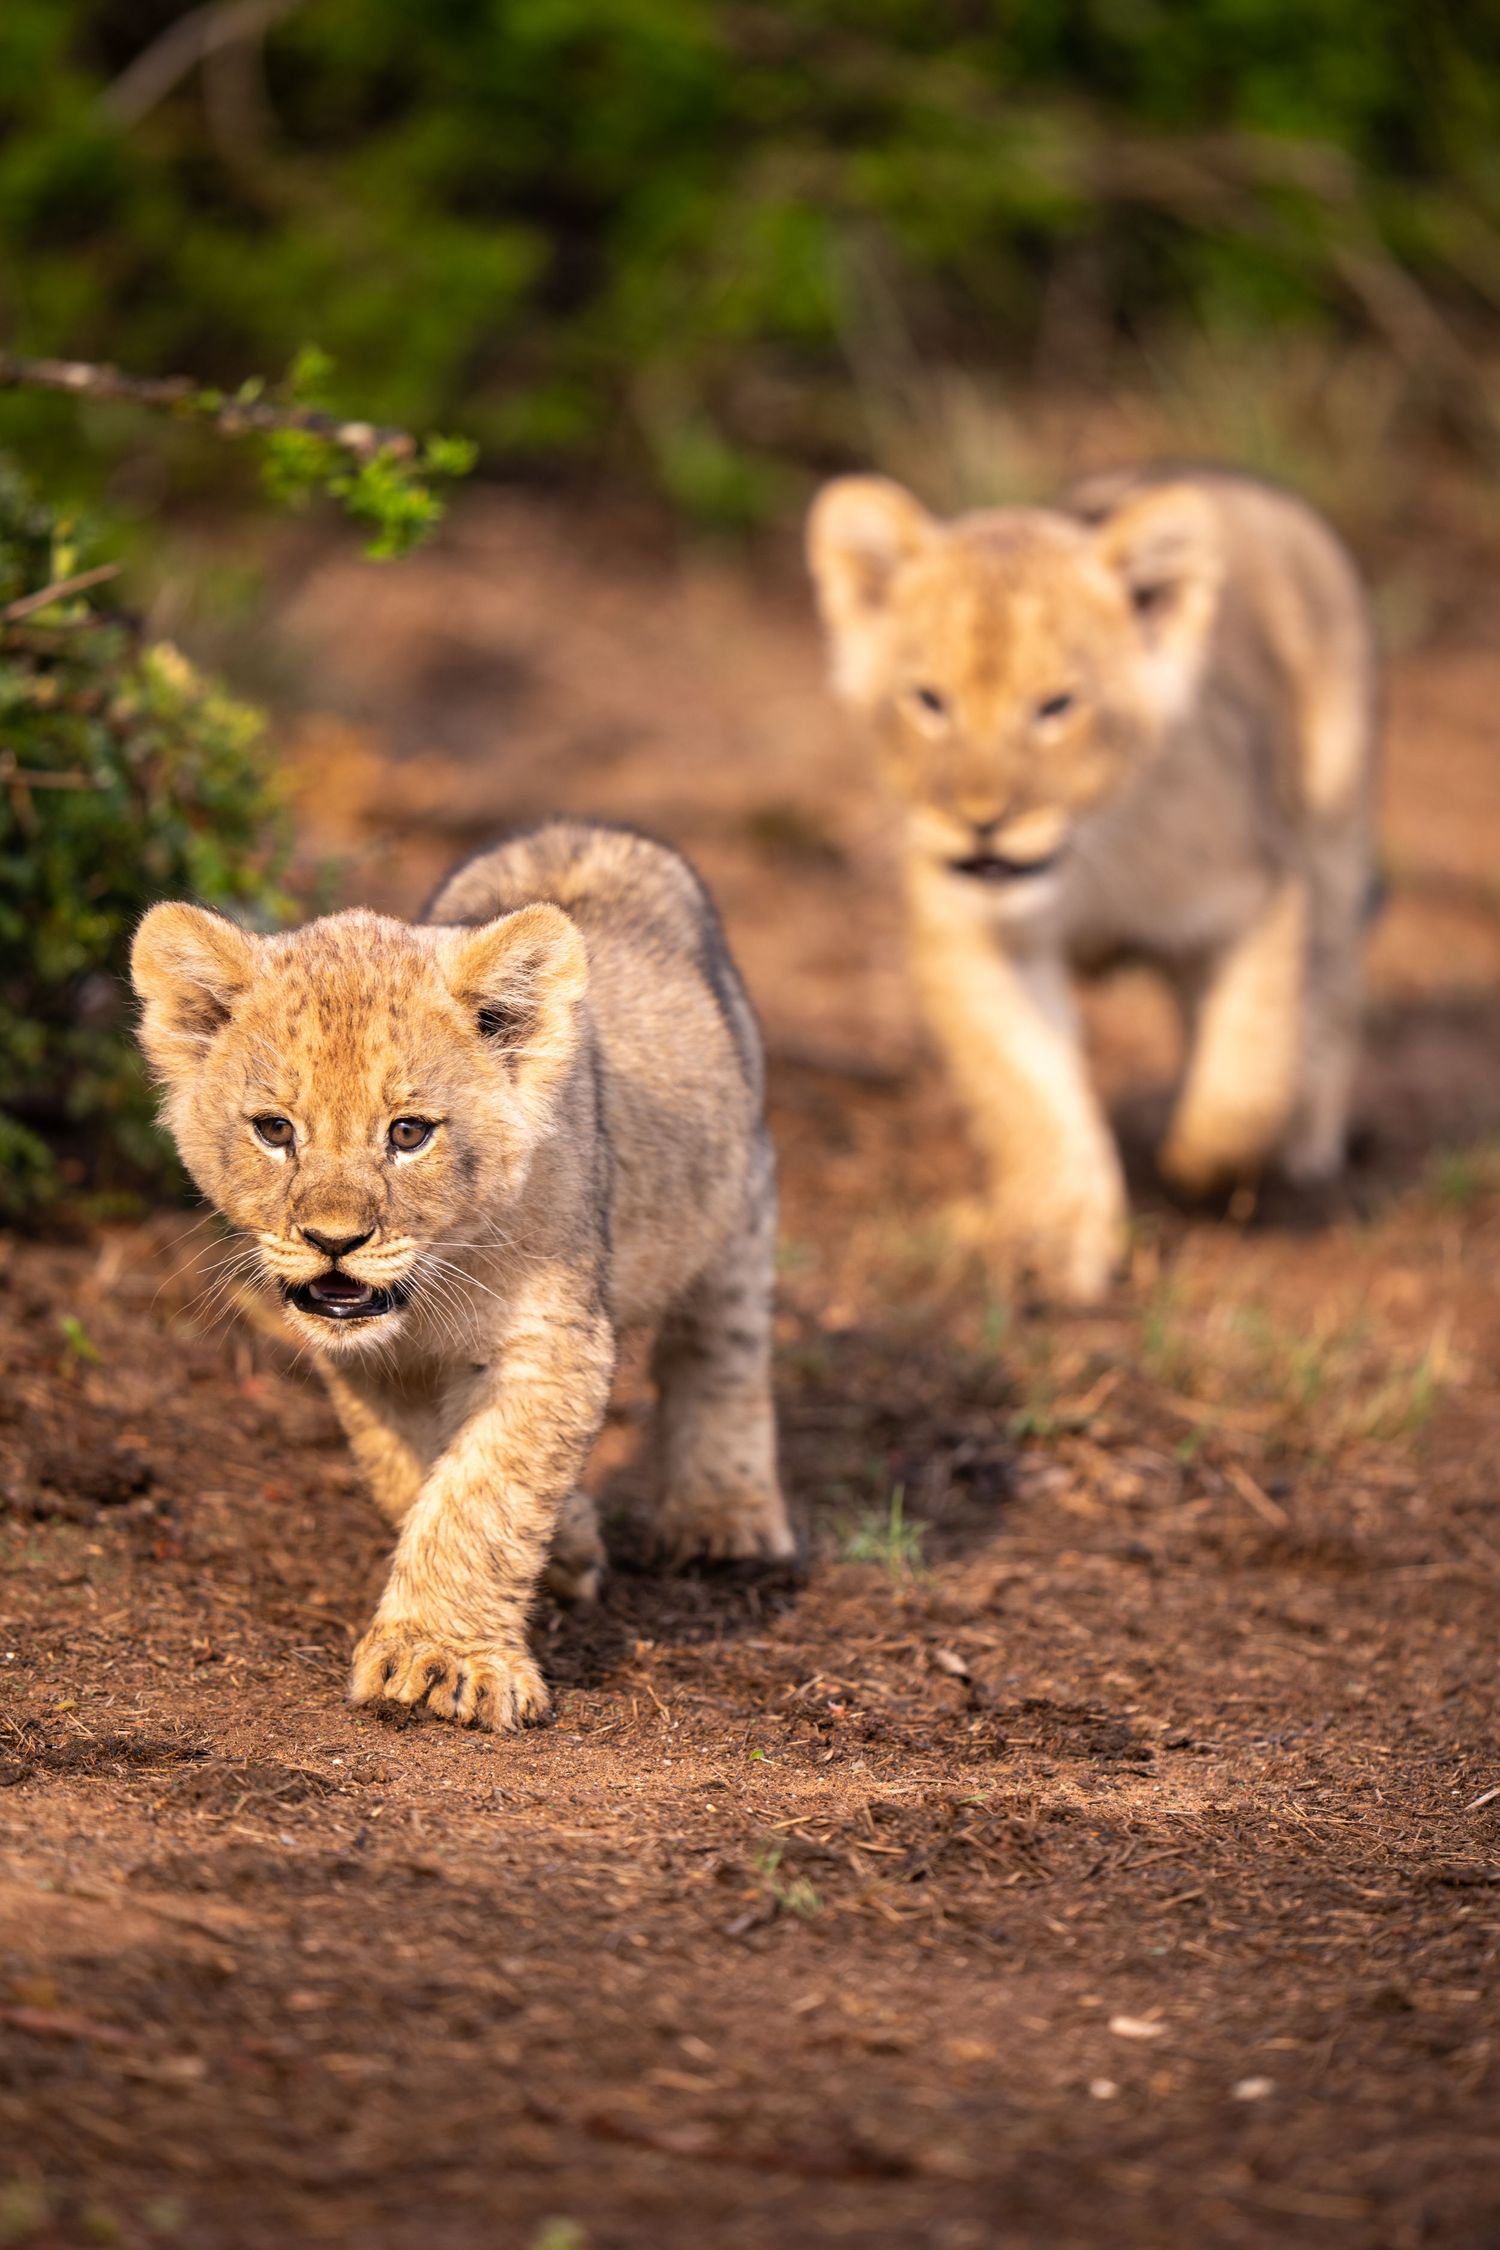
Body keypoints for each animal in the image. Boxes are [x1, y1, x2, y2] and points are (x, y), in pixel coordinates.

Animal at [131, 820, 794, 1731]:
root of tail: (587, 828)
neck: (432, 1296)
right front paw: (565, 1546)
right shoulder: (371, 1362)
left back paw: (725, 1519)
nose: (333, 1241)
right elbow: (415, 1474)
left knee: (722, 1352)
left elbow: (486, 1491)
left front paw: (442, 1662)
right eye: (275, 1130)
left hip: (737, 1203)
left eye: (410, 1133)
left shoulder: (551, 1340)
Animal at [807, 464, 1379, 1302]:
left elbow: (1248, 1070)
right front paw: (1057, 1241)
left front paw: (1200, 1168)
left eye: (1056, 707)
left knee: (1331, 985)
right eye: (929, 701)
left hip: (1334, 824)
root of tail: (1217, 474)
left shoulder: (1260, 891)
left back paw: (1308, 1136)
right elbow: (1027, 1092)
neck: (1085, 865)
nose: (982, 822)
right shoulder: (974, 938)